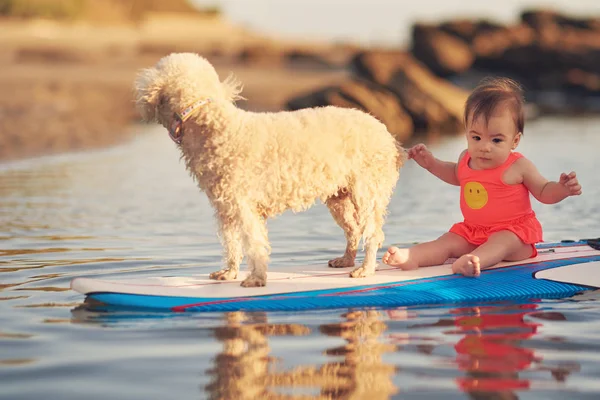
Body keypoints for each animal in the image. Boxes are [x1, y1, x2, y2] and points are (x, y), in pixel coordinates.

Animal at [135, 53, 406, 286]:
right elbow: (231, 243)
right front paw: (229, 272)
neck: (210, 123)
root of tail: (389, 137)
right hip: (339, 198)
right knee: (354, 230)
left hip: (367, 192)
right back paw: (346, 260)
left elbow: (254, 244)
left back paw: (365, 269)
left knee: (372, 233)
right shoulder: (226, 208)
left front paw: (256, 279)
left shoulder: (244, 207)